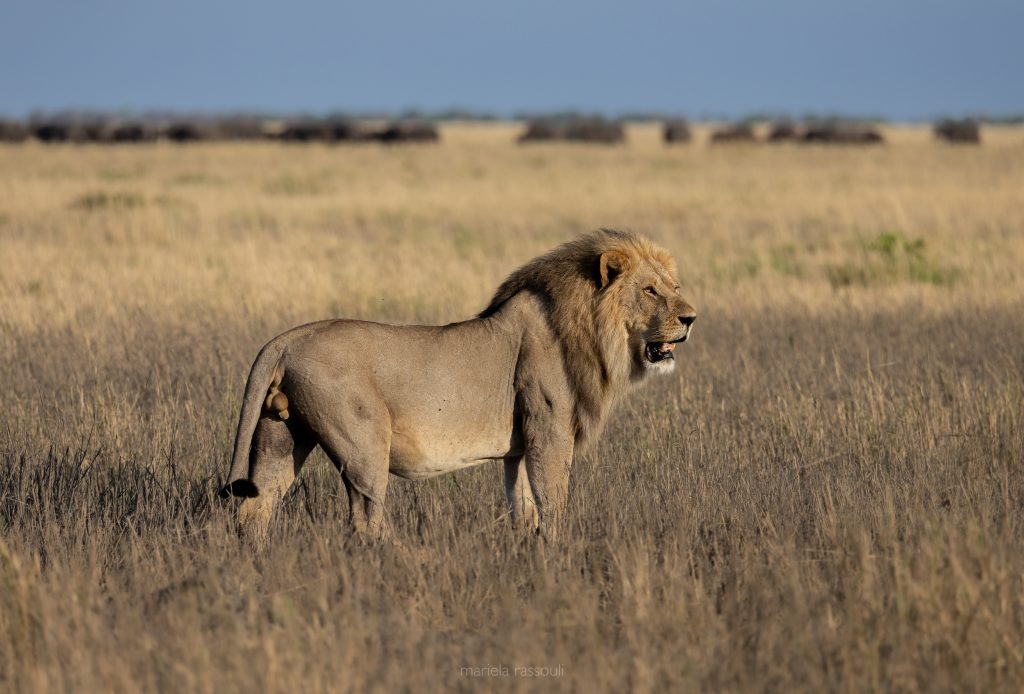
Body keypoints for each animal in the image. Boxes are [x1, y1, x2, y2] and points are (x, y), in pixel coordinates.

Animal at [220, 229, 697, 540]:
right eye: (650, 291)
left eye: (675, 286)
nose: (691, 317)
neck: (589, 331)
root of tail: (288, 338)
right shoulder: (549, 432)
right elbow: (552, 504)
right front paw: (556, 557)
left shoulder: (519, 446)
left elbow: (523, 506)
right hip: (364, 443)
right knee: (366, 519)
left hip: (282, 433)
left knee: (255, 509)